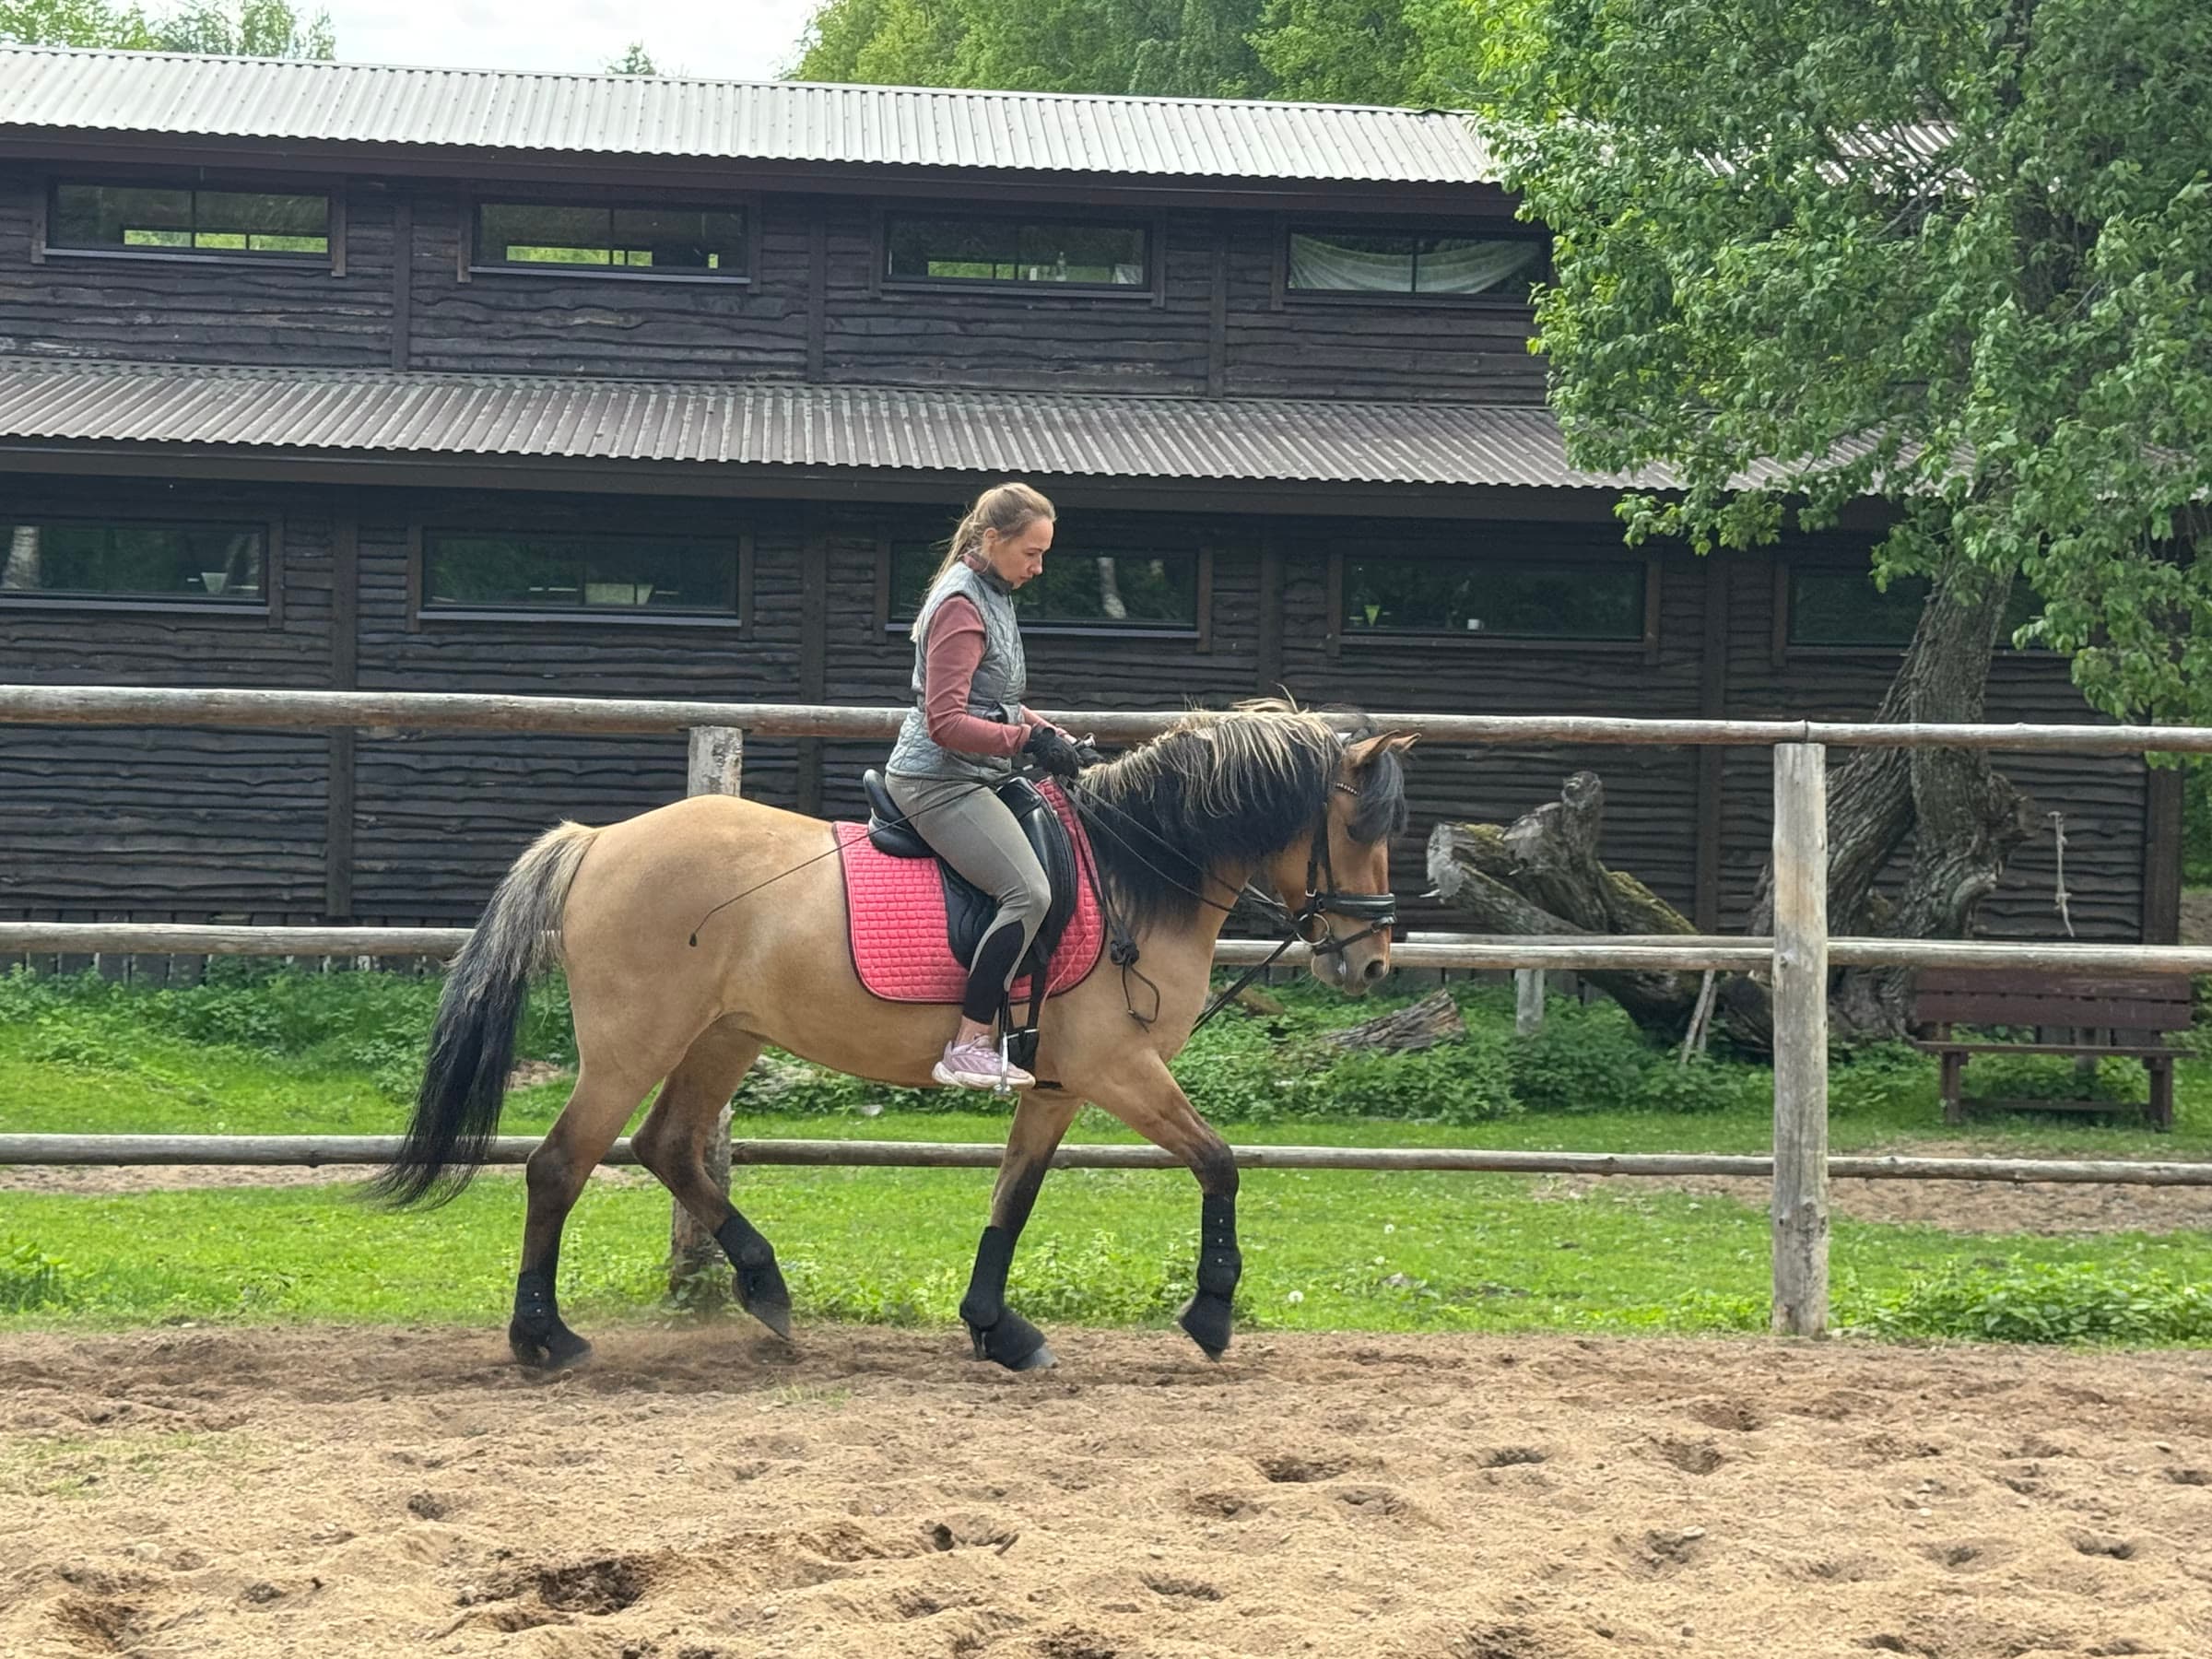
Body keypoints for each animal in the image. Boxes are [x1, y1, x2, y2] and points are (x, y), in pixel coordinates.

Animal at [371, 701, 1414, 1372]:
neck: (1132, 873)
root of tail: (597, 842)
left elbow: (1014, 1198)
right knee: (561, 1165)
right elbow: (1219, 1163)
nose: (1369, 964)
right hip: (637, 1043)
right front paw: (1210, 1313)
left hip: (723, 1037)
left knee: (668, 1147)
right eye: (1358, 828)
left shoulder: (1060, 1083)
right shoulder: (1119, 1068)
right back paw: (543, 1339)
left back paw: (766, 1292)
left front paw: (998, 1328)